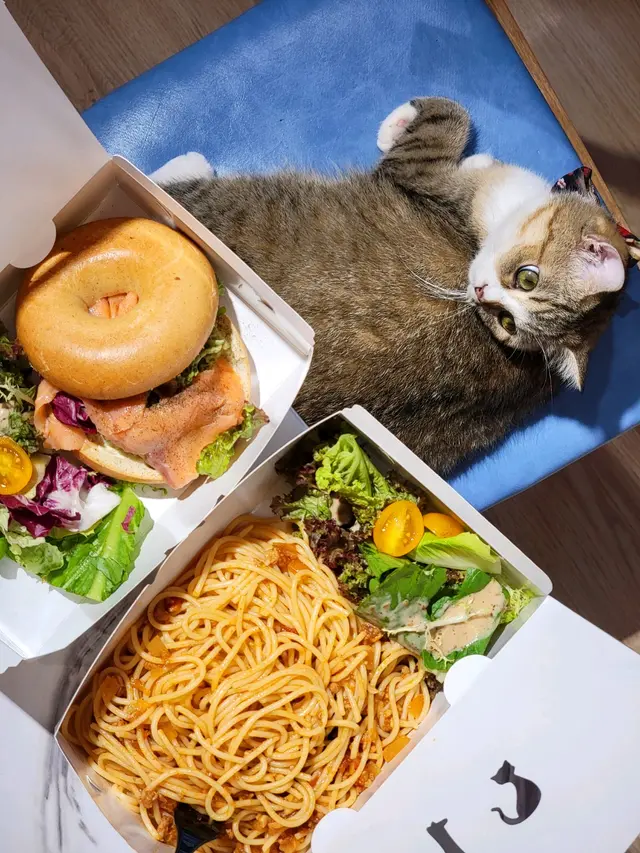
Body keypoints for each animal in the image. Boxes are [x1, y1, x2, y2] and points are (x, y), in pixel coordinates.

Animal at [153, 97, 630, 474]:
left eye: (507, 320)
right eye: (526, 278)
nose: (480, 294)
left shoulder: (417, 175)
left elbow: (450, 119)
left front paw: (400, 124)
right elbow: (458, 123)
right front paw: (465, 153)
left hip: (221, 208)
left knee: (175, 188)